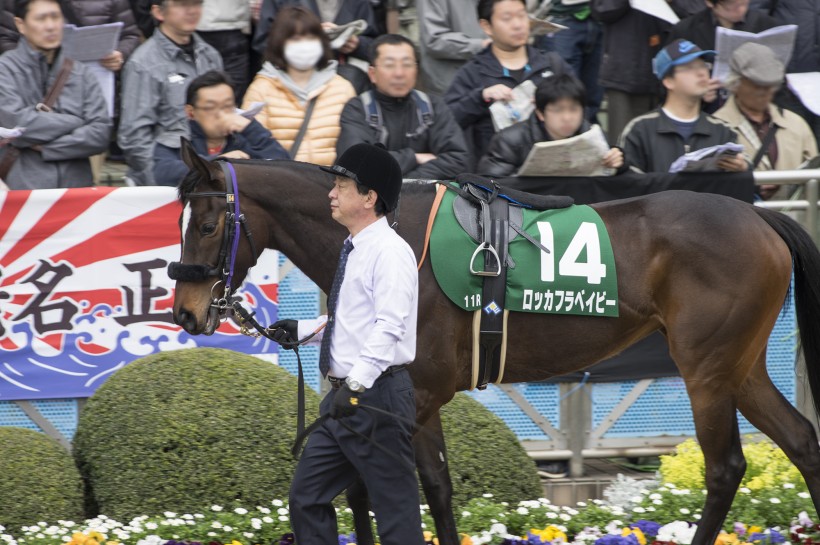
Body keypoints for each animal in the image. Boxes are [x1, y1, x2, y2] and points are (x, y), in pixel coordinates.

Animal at [170, 141, 820, 544]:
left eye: (207, 224)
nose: (186, 313)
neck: (392, 232)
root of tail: (759, 217)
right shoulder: (408, 400)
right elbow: (411, 490)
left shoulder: (415, 394)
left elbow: (397, 488)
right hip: (741, 367)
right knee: (802, 441)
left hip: (706, 368)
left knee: (724, 468)